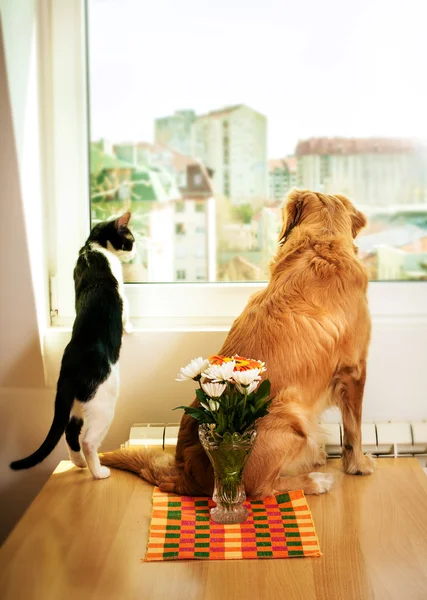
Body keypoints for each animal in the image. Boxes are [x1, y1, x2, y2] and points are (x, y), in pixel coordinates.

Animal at [10, 213, 135, 480]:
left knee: (69, 430)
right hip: (103, 404)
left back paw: (78, 463)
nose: (135, 251)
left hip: (77, 405)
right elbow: (126, 311)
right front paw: (130, 327)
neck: (92, 247)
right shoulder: (121, 293)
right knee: (88, 440)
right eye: (130, 239)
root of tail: (69, 369)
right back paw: (98, 472)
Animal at [101, 191, 374, 496]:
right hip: (291, 417)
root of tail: (186, 472)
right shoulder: (355, 369)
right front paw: (358, 464)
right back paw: (315, 480)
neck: (321, 245)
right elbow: (354, 428)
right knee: (263, 489)